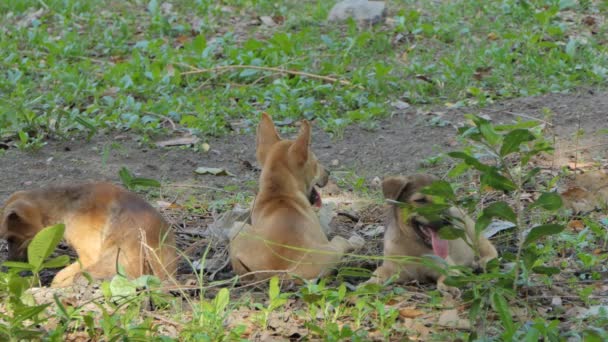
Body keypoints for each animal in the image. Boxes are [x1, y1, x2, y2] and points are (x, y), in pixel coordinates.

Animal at [228, 113, 360, 282]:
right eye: (315, 163)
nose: (328, 172)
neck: (278, 192)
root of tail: (278, 273)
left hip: (237, 228)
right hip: (330, 250)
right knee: (341, 242)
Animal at [366, 175, 498, 296]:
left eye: (445, 200)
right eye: (420, 200)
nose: (448, 219)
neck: (415, 248)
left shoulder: (447, 265)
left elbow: (448, 275)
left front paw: (448, 285)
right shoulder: (392, 267)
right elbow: (379, 271)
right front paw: (370, 284)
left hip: (473, 230)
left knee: (490, 249)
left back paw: (483, 262)